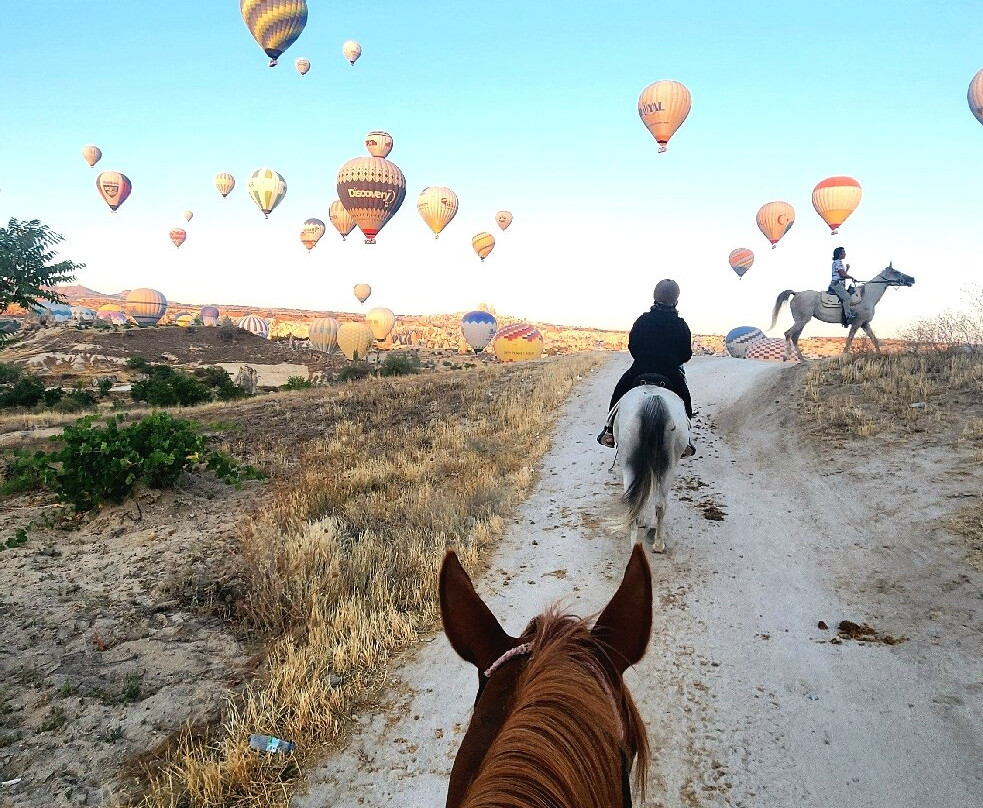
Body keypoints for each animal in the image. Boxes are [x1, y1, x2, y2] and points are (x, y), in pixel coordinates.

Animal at [611, 382, 691, 553]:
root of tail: (654, 400)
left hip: (628, 463)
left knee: (633, 503)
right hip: (669, 466)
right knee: (660, 504)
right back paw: (658, 545)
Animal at [770, 263, 915, 361]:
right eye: (896, 272)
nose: (912, 279)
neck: (867, 295)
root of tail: (796, 293)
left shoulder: (865, 324)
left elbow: (874, 339)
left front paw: (879, 354)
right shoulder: (857, 322)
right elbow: (850, 338)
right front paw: (844, 354)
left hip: (802, 321)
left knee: (794, 337)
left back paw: (803, 359)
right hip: (801, 321)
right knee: (788, 334)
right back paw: (786, 356)